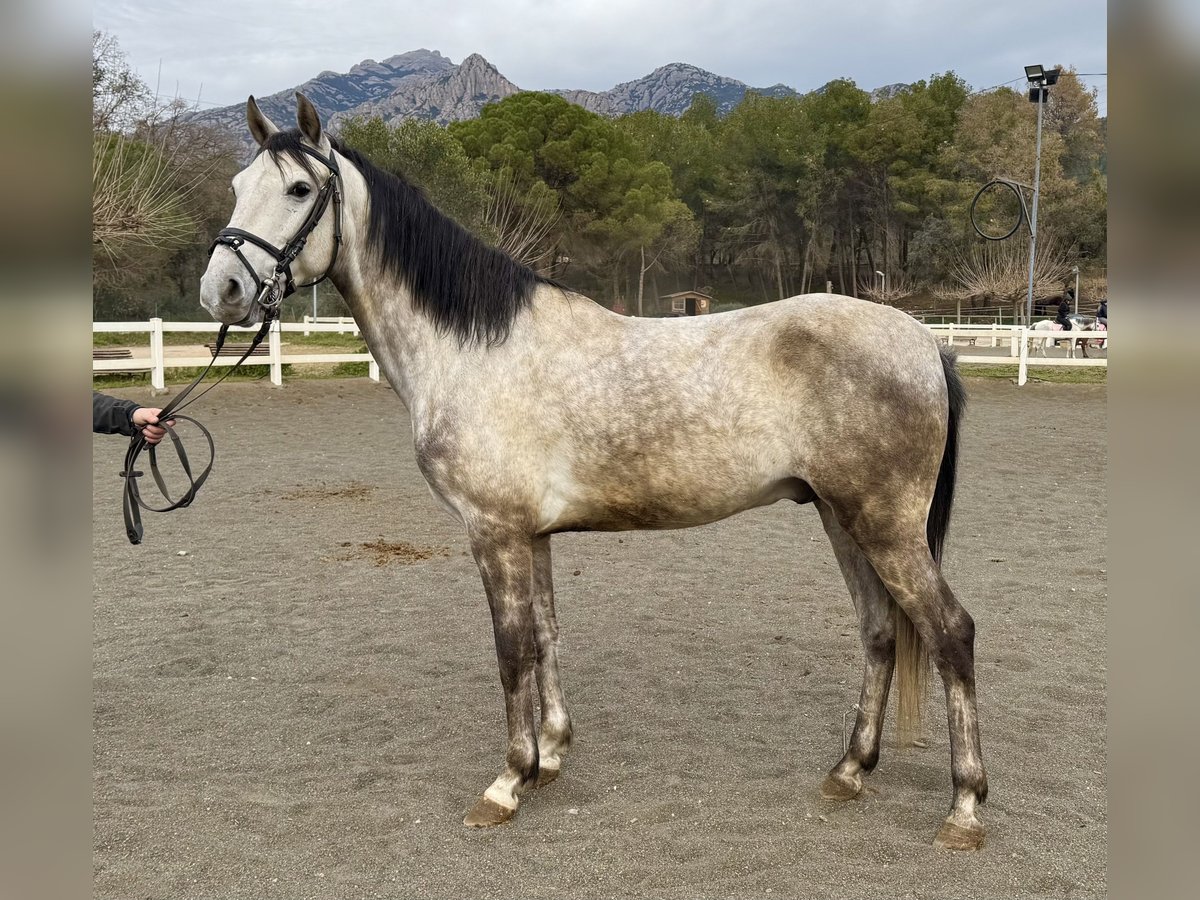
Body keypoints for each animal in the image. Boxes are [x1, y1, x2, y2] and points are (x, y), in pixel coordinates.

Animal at [194, 95, 984, 854]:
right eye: (236, 186)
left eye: (299, 189)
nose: (222, 290)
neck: (473, 349)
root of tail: (923, 340)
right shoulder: (533, 535)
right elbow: (546, 635)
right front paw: (549, 757)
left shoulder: (495, 533)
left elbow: (512, 650)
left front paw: (507, 782)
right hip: (840, 515)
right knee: (880, 630)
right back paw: (849, 771)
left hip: (884, 525)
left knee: (950, 632)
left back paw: (965, 808)